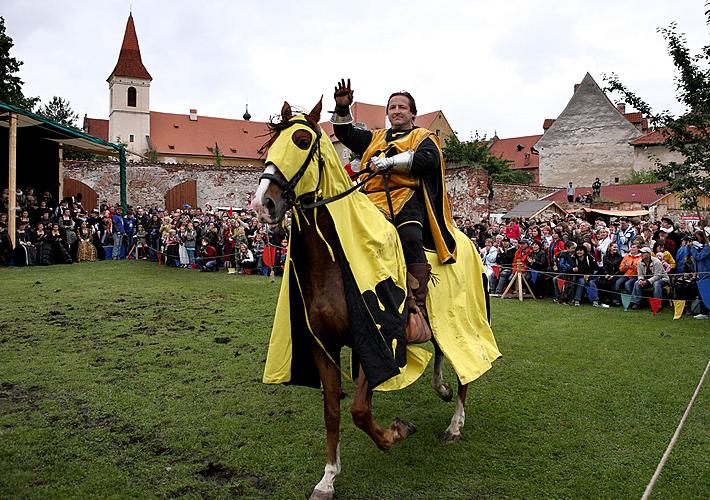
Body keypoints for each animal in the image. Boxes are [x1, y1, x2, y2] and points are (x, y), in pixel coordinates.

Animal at [256, 99, 500, 498]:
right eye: (270, 145)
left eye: (303, 140)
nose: (264, 203)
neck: (331, 264)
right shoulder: (324, 347)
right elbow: (334, 412)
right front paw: (328, 477)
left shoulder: (376, 341)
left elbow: (359, 411)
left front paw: (394, 434)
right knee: (440, 352)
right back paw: (441, 388)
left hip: (469, 320)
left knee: (466, 366)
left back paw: (455, 423)